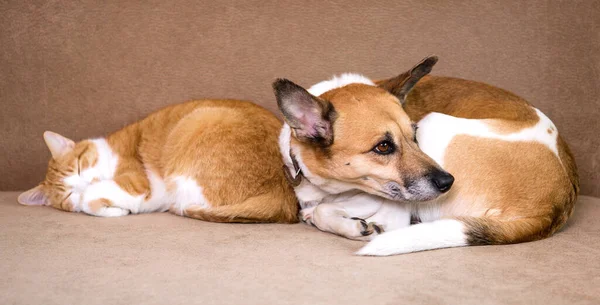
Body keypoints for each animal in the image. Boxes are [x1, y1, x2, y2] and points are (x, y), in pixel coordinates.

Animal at [17, 99, 298, 221]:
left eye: (78, 166)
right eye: (67, 193)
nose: (87, 182)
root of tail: (281, 194)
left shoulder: (141, 186)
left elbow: (93, 198)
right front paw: (114, 209)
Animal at [274, 55, 580, 254]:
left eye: (415, 134)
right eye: (383, 146)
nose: (448, 183)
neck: (326, 184)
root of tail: (554, 205)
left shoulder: (376, 192)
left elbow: (326, 208)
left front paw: (346, 223)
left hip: (435, 125)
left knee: (395, 222)